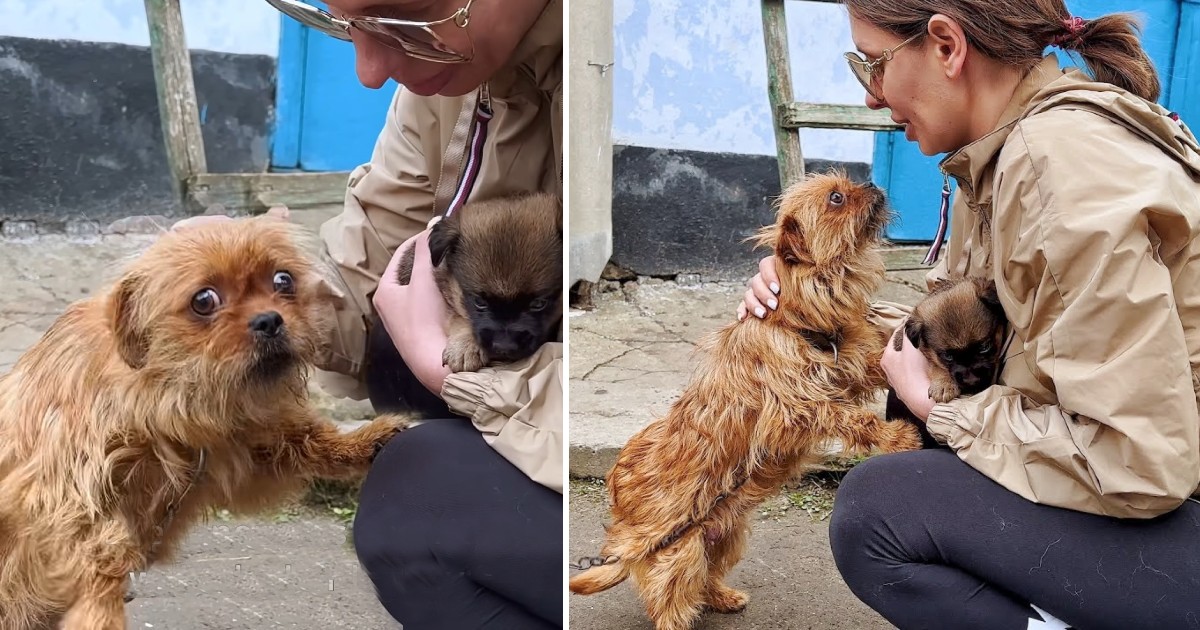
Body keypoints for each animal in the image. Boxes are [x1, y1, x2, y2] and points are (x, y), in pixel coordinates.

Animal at [0, 216, 408, 628]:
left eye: (283, 281)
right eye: (204, 300)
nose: (269, 320)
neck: (161, 395)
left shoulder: (239, 450)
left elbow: (302, 437)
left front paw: (362, 441)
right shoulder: (66, 495)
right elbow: (100, 554)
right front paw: (101, 613)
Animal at [566, 170, 921, 628]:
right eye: (836, 198)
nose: (873, 184)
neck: (795, 319)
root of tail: (624, 521)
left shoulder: (848, 366)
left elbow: (874, 367)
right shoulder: (799, 407)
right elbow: (853, 418)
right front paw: (898, 436)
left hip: (726, 534)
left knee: (705, 577)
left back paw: (722, 596)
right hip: (678, 550)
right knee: (670, 597)